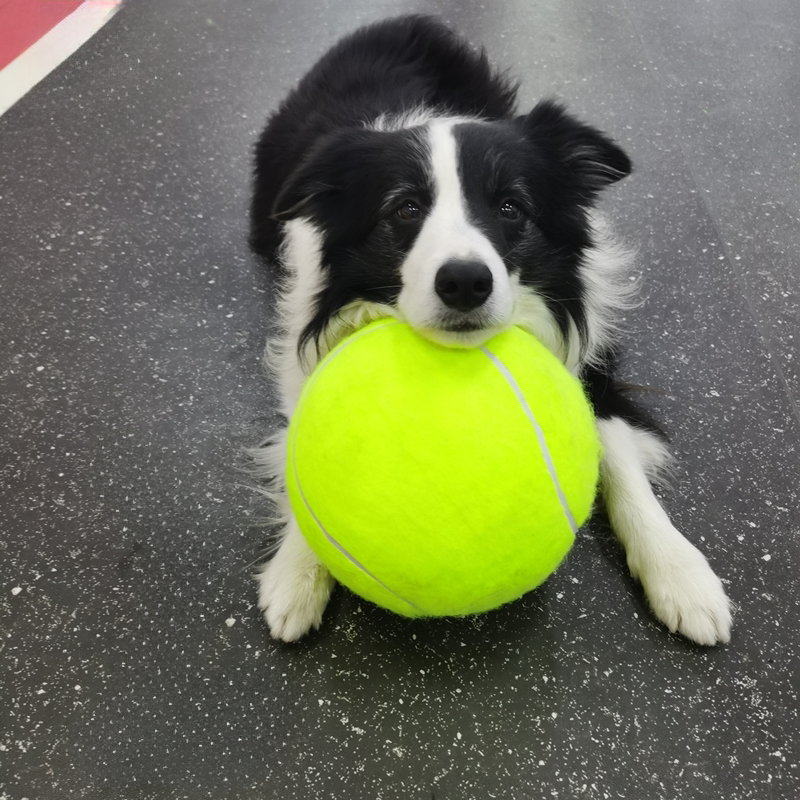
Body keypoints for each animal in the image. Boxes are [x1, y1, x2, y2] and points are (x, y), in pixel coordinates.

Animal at [248, 15, 732, 648]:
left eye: (511, 208)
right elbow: (299, 450)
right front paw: (297, 571)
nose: (464, 283)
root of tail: (401, 22)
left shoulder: (592, 363)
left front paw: (681, 575)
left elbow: (620, 459)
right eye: (404, 210)